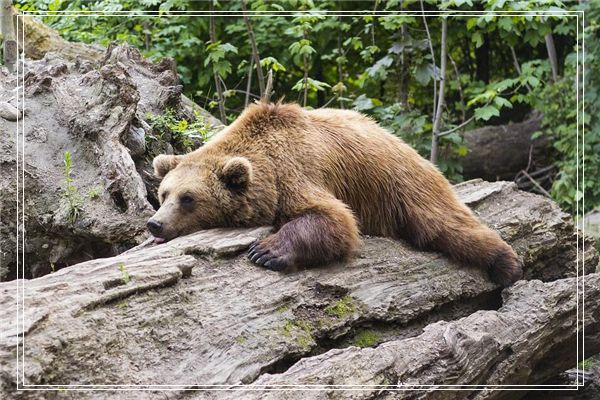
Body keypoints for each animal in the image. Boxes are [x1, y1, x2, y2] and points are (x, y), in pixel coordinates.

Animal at [149, 101, 520, 286]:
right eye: (164, 194)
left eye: (188, 198)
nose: (155, 224)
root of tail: (400, 141)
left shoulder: (296, 173)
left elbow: (333, 218)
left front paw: (266, 251)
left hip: (402, 184)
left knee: (445, 224)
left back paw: (507, 264)